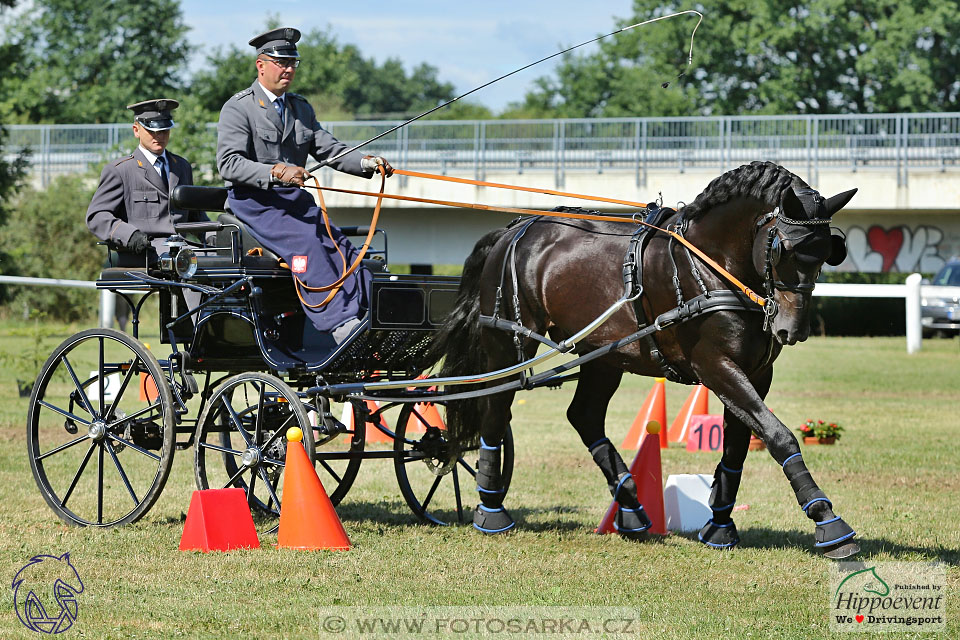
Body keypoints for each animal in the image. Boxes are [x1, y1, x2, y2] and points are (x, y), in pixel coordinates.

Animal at [424, 162, 860, 556]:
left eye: (829, 252)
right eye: (781, 246)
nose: (792, 328)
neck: (712, 265)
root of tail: (513, 228)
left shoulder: (756, 373)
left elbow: (739, 447)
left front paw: (720, 526)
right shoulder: (715, 366)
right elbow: (780, 435)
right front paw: (828, 521)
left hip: (603, 356)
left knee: (583, 416)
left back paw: (631, 505)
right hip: (507, 341)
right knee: (496, 409)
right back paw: (490, 509)